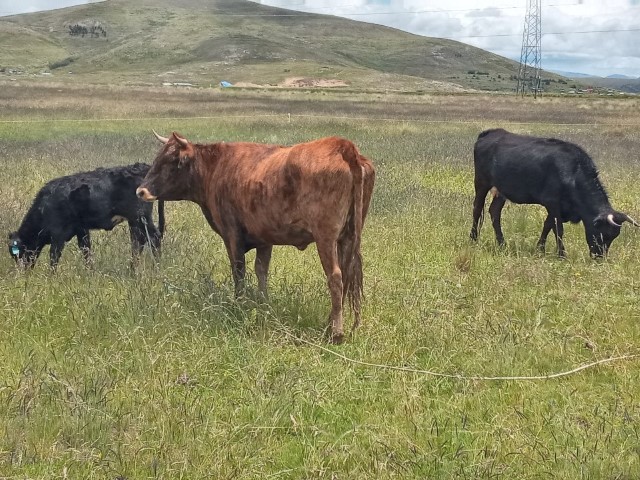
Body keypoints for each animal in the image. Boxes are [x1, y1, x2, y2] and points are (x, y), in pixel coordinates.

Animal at [8, 163, 165, 268]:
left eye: (18, 253)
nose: (23, 272)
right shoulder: (81, 229)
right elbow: (86, 251)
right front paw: (90, 271)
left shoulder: (58, 233)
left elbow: (54, 255)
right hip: (135, 221)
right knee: (140, 241)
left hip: (140, 217)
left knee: (153, 237)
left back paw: (156, 268)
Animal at [136, 132, 375, 344]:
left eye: (172, 160)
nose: (140, 191)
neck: (216, 167)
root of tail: (343, 146)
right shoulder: (264, 239)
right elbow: (262, 271)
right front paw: (264, 306)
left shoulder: (232, 234)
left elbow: (239, 271)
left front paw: (239, 304)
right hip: (349, 237)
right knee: (347, 275)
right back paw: (330, 324)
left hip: (326, 237)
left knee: (335, 277)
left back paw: (335, 333)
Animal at [470, 128, 638, 257]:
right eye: (604, 233)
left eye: (614, 236)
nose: (599, 257)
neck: (573, 172)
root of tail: (490, 133)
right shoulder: (552, 202)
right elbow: (558, 229)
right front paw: (562, 254)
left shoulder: (557, 207)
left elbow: (547, 226)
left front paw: (540, 249)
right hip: (481, 183)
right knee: (477, 209)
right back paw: (473, 239)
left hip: (501, 191)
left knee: (494, 212)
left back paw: (502, 243)